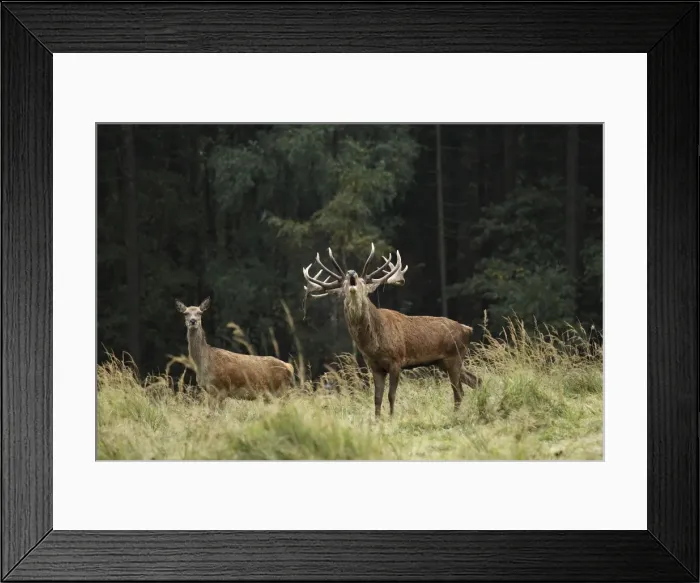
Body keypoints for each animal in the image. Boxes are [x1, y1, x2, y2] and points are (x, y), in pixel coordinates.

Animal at [302, 243, 481, 418]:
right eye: (344, 286)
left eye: (363, 283)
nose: (351, 273)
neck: (374, 345)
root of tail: (468, 329)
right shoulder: (374, 366)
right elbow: (377, 397)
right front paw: (377, 419)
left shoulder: (397, 360)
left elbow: (391, 395)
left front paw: (392, 417)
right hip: (444, 361)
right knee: (474, 380)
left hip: (454, 356)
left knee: (458, 392)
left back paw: (456, 415)